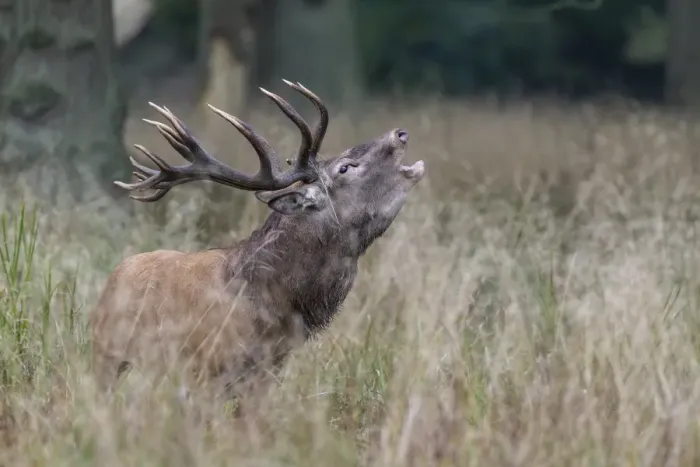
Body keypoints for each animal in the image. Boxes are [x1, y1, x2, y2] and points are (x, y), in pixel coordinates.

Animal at [89, 80, 425, 402]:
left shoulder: (267, 372)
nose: (399, 133)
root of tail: (114, 276)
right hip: (108, 355)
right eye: (344, 167)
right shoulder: (205, 371)